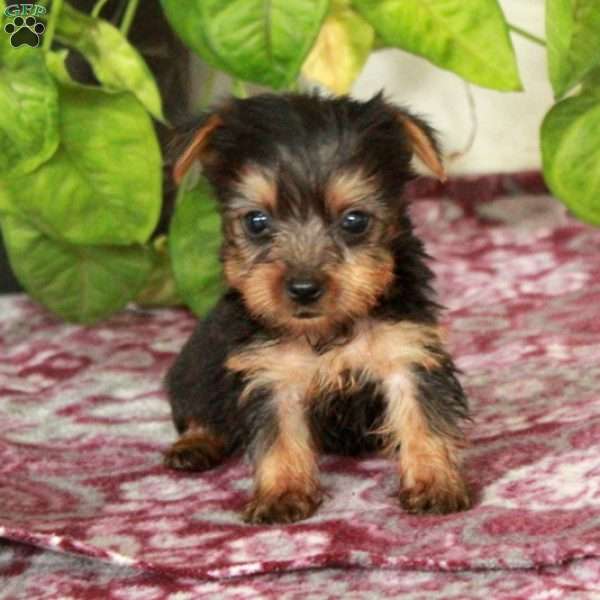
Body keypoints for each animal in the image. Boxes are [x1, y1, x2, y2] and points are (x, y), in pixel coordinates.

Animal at [163, 91, 468, 524]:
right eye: (256, 221)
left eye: (354, 221)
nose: (304, 288)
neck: (328, 329)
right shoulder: (270, 370)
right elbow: (279, 434)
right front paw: (283, 492)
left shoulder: (407, 349)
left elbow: (423, 417)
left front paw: (434, 481)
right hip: (195, 366)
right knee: (198, 408)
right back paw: (194, 445)